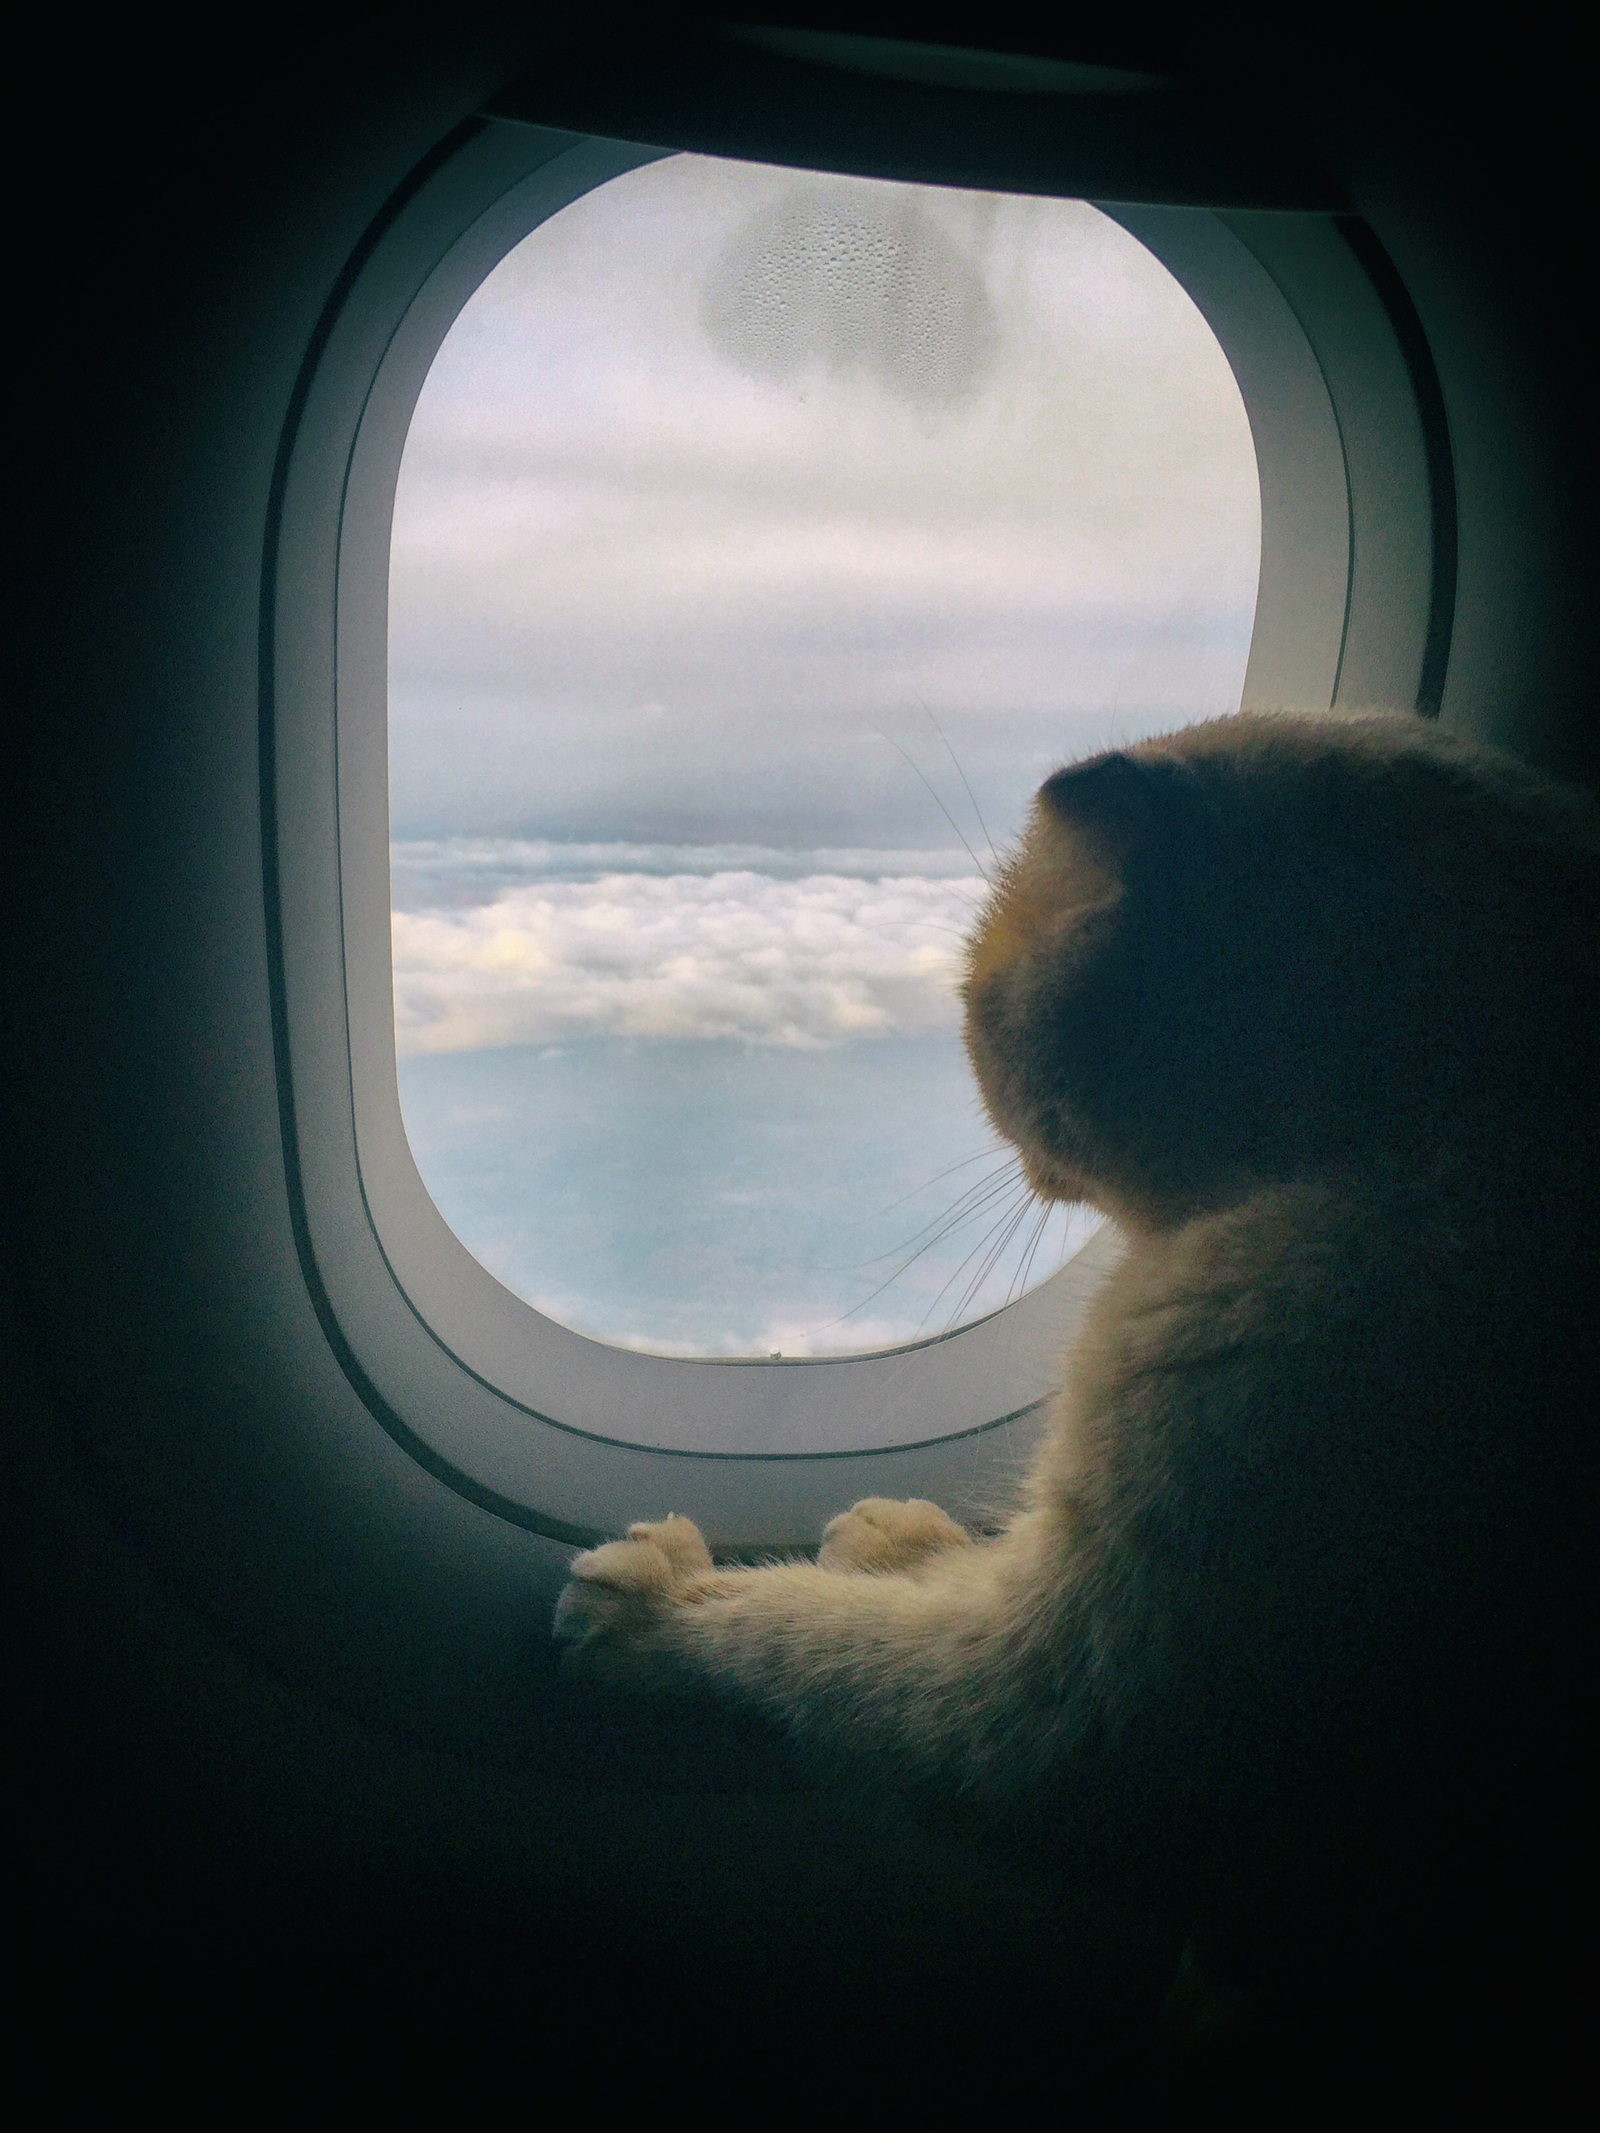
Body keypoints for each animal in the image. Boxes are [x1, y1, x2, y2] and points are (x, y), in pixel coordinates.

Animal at [554, 708, 1600, 2022]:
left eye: (978, 996)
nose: (970, 1062)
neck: (1438, 1101)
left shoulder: (1073, 1717)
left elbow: (808, 1641)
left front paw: (661, 1606)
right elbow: (921, 1585)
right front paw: (901, 1544)